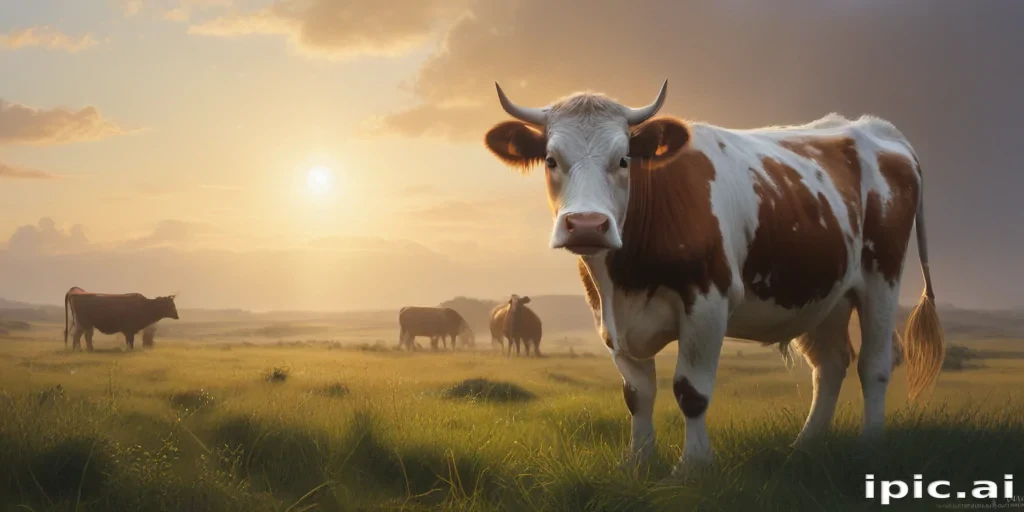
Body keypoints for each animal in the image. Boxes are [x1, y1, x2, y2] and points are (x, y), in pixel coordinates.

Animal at [482, 80, 945, 476]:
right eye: (551, 160)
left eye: (624, 159)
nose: (587, 225)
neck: (625, 278)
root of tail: (876, 129)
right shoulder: (608, 316)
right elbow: (637, 395)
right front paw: (638, 462)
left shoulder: (706, 302)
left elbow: (691, 391)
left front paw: (693, 466)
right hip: (825, 293)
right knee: (831, 365)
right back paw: (806, 446)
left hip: (881, 276)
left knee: (875, 364)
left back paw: (870, 447)